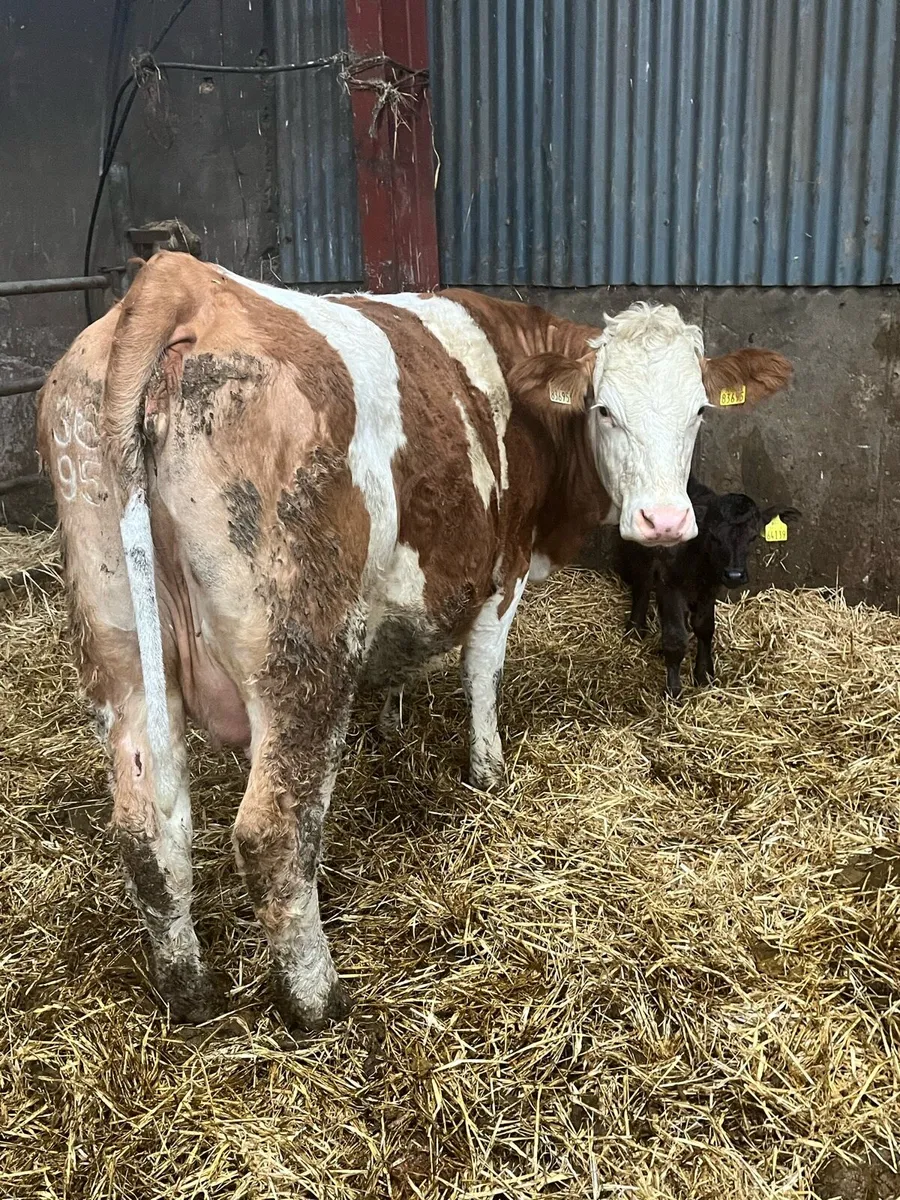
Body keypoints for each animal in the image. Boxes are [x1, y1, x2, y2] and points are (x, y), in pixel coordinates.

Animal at [617, 475, 801, 698]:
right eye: (713, 536)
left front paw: (704, 674)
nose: (734, 575)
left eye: (753, 537)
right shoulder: (668, 584)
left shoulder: (709, 587)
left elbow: (705, 627)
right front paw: (674, 691)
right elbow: (675, 639)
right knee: (642, 580)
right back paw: (635, 628)